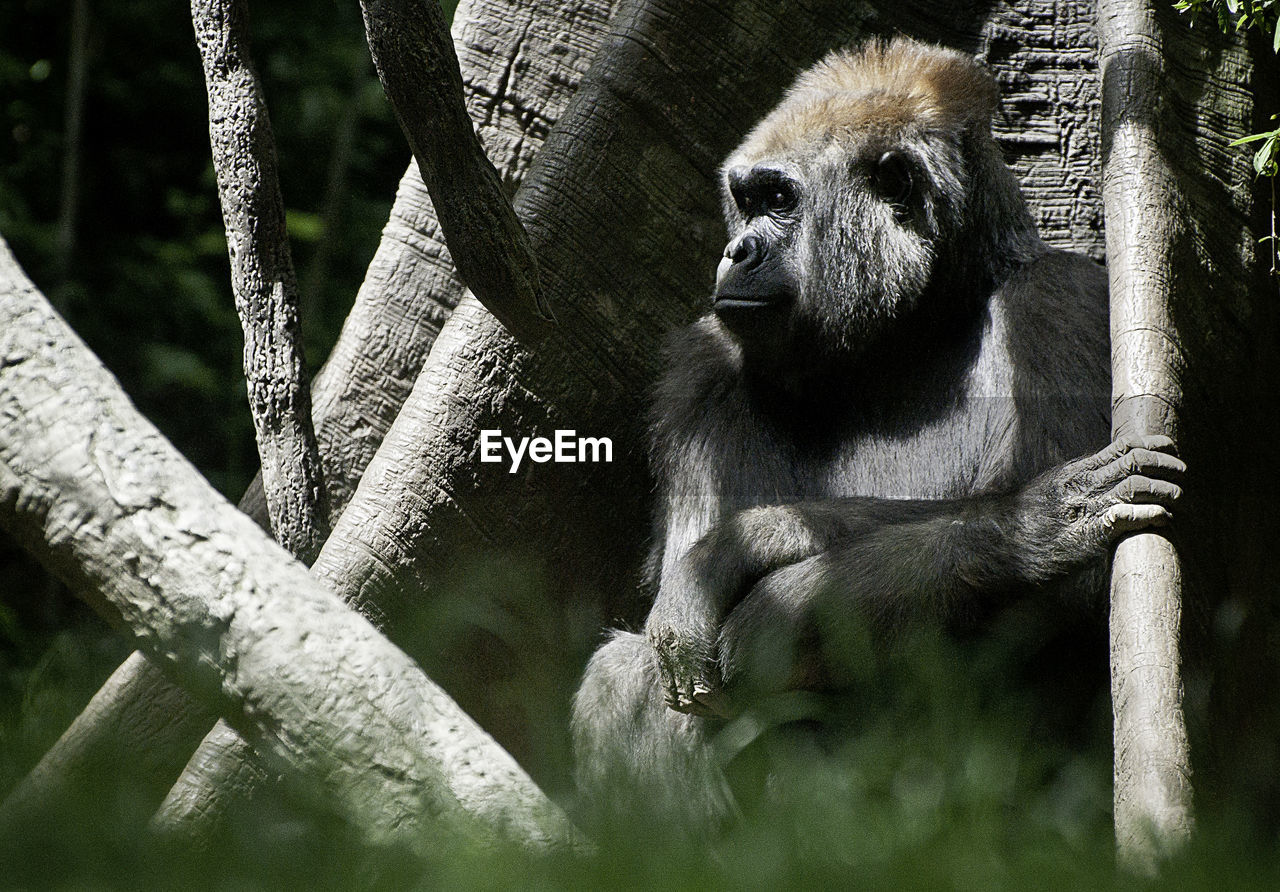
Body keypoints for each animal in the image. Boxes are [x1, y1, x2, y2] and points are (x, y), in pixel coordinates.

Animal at [576, 36, 1182, 834]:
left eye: (779, 200)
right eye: (746, 201)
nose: (736, 252)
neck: (909, 331)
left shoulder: (1065, 299)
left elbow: (1076, 594)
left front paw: (750, 551)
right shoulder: (703, 364)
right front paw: (1041, 520)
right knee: (629, 671)